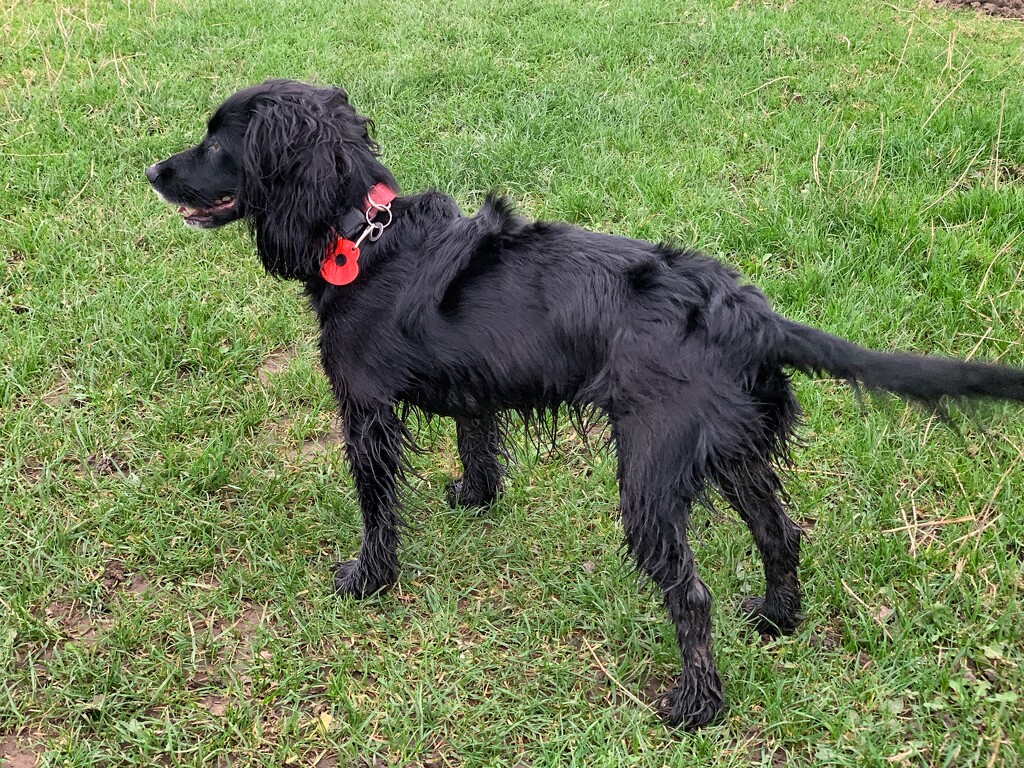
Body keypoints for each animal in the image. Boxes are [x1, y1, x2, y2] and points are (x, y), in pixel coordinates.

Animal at [144, 81, 1024, 729]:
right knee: (782, 534)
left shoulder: (364, 412)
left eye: (216, 144)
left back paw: (695, 706)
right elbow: (477, 440)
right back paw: (777, 620)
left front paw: (368, 578)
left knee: (691, 595)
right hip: (733, 448)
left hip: (652, 474)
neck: (366, 233)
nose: (152, 172)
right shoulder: (472, 387)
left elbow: (376, 508)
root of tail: (746, 312)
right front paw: (475, 496)